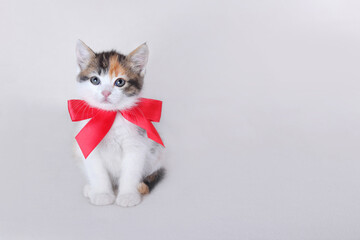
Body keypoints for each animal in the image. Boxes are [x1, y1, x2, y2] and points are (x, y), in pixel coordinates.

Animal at [74, 40, 165, 207]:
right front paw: (102, 193)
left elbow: (130, 170)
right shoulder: (89, 144)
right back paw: (91, 188)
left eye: (120, 82)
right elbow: (97, 170)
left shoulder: (136, 142)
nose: (106, 92)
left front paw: (128, 195)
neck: (110, 118)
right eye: (95, 80)